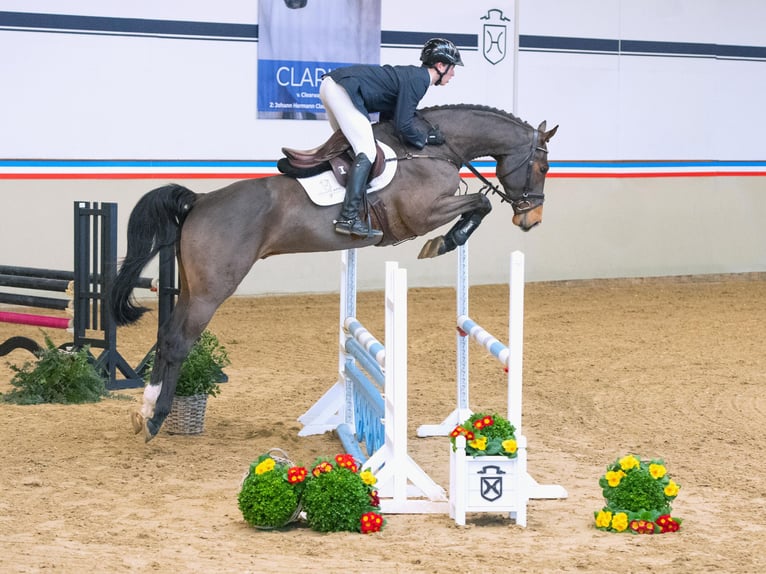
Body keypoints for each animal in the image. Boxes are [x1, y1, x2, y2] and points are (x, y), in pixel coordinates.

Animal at [111, 103, 560, 444]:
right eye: (542, 166)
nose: (531, 220)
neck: (433, 149)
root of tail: (200, 200)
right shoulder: (424, 214)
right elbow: (479, 205)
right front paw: (446, 241)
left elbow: (477, 206)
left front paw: (450, 240)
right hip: (211, 291)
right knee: (178, 342)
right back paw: (154, 418)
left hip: (192, 287)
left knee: (166, 336)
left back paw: (145, 410)